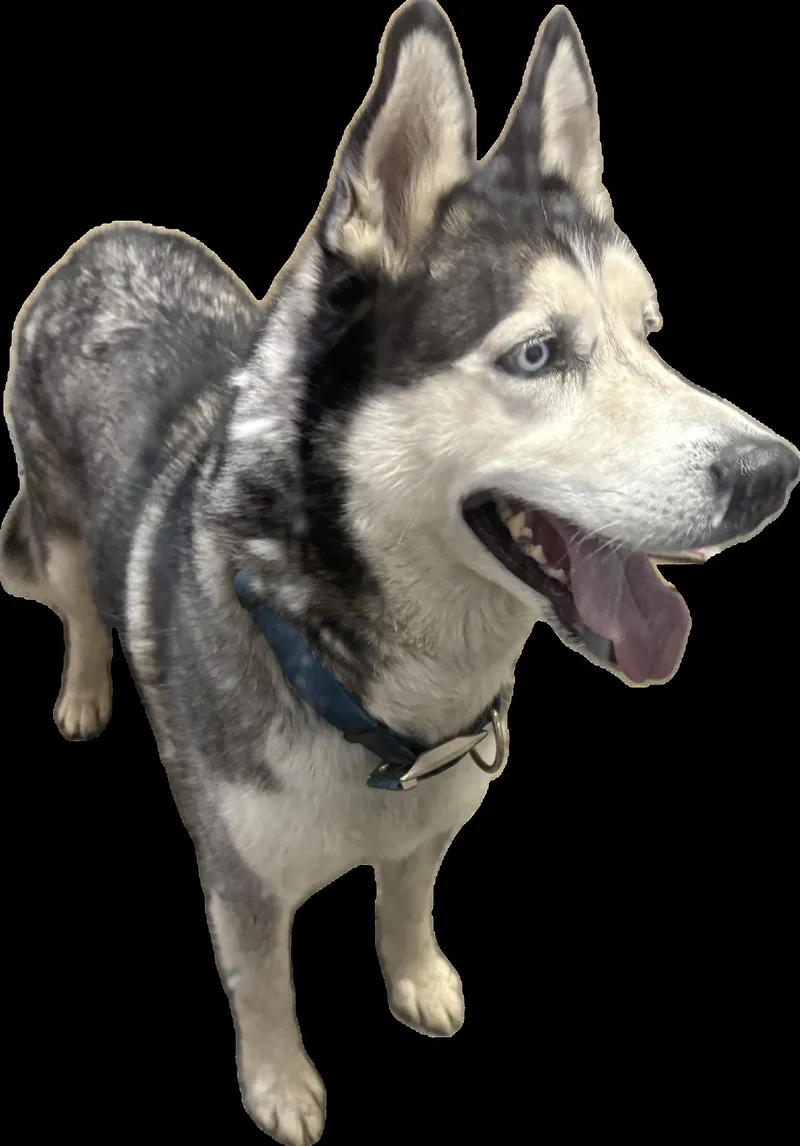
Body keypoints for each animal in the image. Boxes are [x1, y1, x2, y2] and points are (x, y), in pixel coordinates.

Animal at [1, 2, 797, 1142]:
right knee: (75, 610)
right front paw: (280, 1085)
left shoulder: (432, 824)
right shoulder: (240, 877)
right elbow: (264, 986)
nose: (774, 474)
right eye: (535, 355)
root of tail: (110, 235)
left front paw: (417, 979)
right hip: (57, 528)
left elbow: (406, 902)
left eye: (649, 336)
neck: (388, 711)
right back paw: (82, 692)